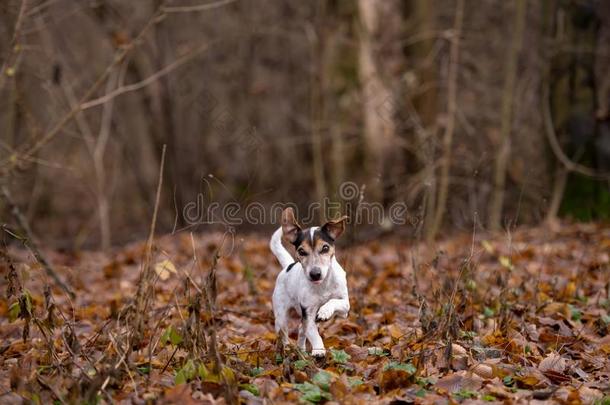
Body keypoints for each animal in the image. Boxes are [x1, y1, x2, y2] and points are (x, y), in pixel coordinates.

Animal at [270, 207, 350, 356]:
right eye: (301, 251)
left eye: (325, 248)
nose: (315, 274)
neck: (322, 286)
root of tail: (288, 266)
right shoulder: (308, 313)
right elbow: (313, 333)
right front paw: (318, 349)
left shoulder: (345, 308)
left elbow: (334, 301)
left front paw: (325, 311)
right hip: (281, 318)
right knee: (287, 333)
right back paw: (288, 349)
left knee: (301, 330)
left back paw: (301, 351)